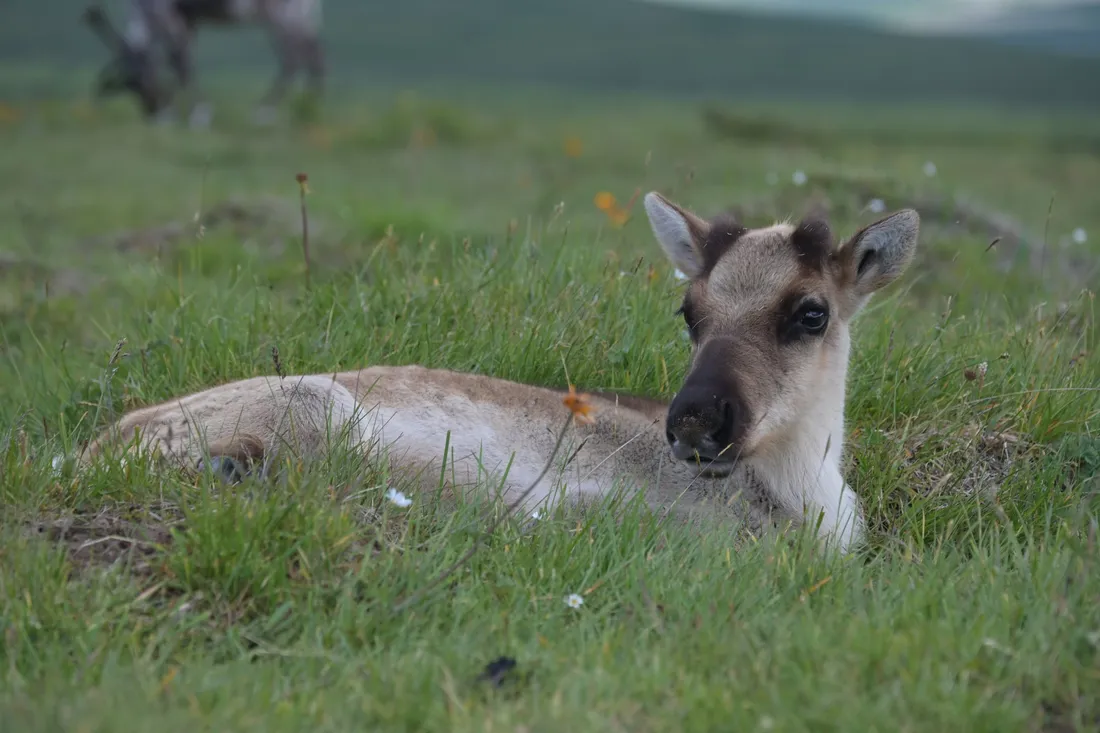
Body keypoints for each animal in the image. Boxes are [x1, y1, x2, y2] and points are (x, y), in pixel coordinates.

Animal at [76, 193, 920, 554]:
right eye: (691, 308)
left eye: (810, 311)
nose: (693, 422)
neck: (803, 496)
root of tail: (88, 454)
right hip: (315, 412)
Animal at [81, 0, 325, 128]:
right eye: (129, 86)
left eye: (142, 81)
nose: (152, 112)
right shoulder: (188, 20)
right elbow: (184, 61)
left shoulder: (165, 12)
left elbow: (180, 63)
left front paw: (195, 116)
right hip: (299, 15)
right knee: (314, 55)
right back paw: (308, 107)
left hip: (284, 13)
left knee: (294, 58)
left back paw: (265, 111)